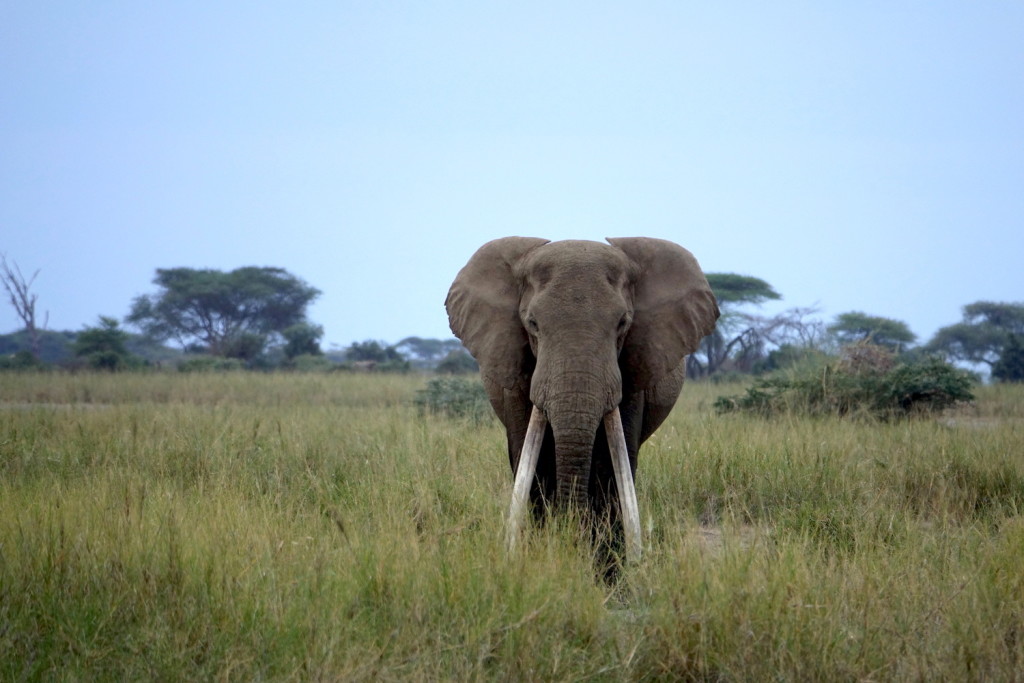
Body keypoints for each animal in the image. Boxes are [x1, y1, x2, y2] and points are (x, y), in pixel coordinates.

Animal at [444, 236, 716, 561]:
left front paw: (607, 566)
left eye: (623, 323)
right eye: (532, 324)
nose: (569, 536)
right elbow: (532, 462)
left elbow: (611, 467)